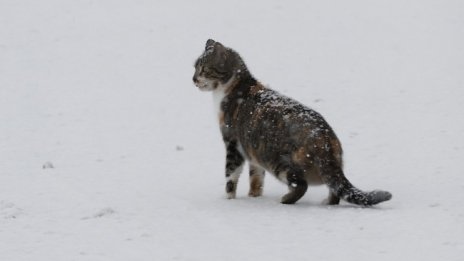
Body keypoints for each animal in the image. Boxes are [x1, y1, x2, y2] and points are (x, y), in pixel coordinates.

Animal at [192, 39, 392, 205]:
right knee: (334, 190)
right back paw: (326, 203)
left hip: (278, 161)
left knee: (301, 185)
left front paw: (228, 200)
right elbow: (256, 178)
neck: (234, 87)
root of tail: (325, 139)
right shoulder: (252, 153)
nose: (193, 79)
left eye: (203, 69)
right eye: (194, 67)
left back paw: (285, 199)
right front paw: (254, 197)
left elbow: (230, 176)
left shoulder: (233, 143)